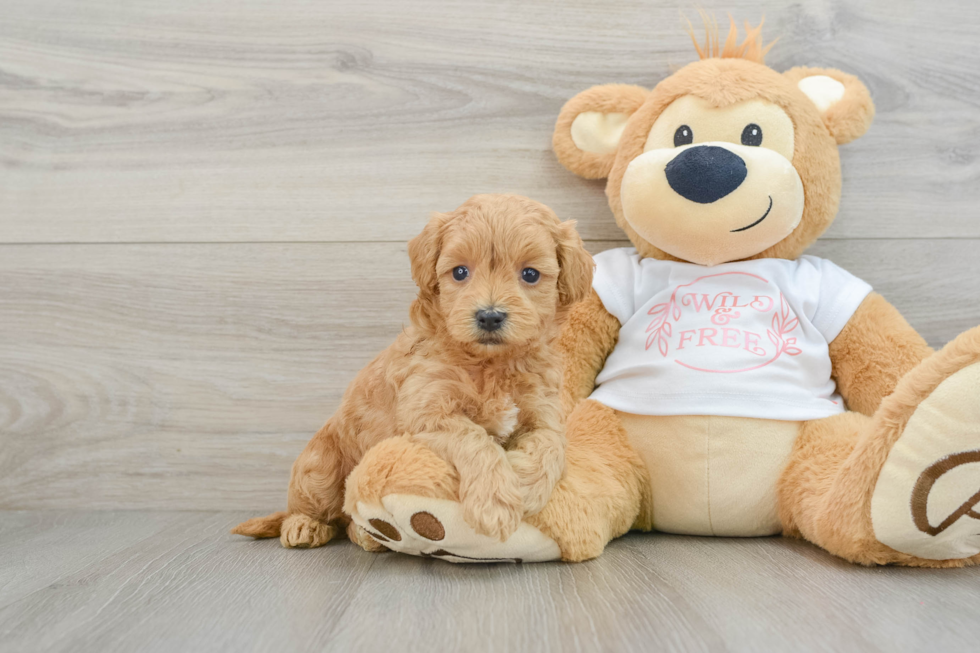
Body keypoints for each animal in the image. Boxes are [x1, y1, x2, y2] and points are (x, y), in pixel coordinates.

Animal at [234, 194, 592, 544]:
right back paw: (305, 526)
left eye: (530, 274)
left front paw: (526, 487)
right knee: (315, 507)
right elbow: (475, 439)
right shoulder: (428, 412)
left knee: (348, 521)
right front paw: (495, 503)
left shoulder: (545, 413)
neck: (490, 364)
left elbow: (551, 446)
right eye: (460, 272)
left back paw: (365, 536)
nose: (489, 316)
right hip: (320, 466)